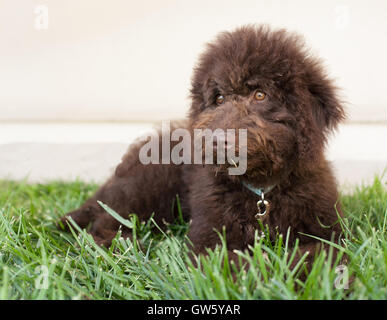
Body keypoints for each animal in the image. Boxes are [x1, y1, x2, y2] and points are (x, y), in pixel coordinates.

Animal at [59, 24, 346, 270]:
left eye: (260, 95)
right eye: (218, 99)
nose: (217, 139)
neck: (261, 192)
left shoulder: (327, 231)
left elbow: (314, 256)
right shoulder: (208, 239)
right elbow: (235, 263)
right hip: (147, 188)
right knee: (103, 221)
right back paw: (121, 244)